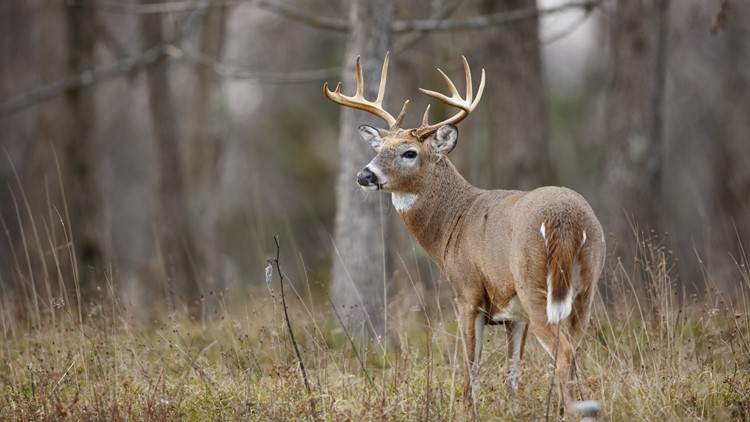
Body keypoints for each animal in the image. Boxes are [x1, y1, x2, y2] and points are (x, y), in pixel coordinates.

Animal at [324, 53, 606, 417]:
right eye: (380, 147)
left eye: (409, 152)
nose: (364, 175)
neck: (453, 224)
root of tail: (567, 220)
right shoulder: (513, 313)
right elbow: (512, 369)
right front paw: (513, 410)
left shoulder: (468, 291)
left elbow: (470, 363)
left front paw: (467, 410)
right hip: (586, 288)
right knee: (574, 348)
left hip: (535, 284)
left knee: (564, 352)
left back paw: (571, 412)